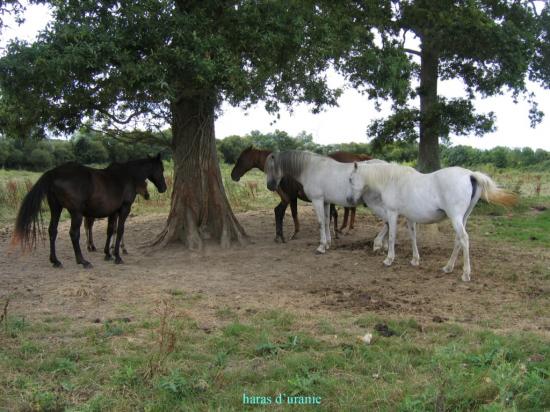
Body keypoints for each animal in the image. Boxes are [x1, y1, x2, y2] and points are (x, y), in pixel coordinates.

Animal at [12, 154, 167, 268]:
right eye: (161, 169)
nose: (164, 188)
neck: (127, 175)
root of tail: (54, 172)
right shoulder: (124, 209)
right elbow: (120, 230)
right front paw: (117, 256)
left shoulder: (113, 212)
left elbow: (110, 230)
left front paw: (108, 254)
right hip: (76, 213)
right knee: (74, 234)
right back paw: (83, 261)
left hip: (56, 208)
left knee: (52, 231)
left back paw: (55, 261)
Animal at [231, 146, 374, 241]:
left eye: (241, 159)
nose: (233, 175)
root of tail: (357, 157)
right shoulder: (287, 198)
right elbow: (281, 212)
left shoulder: (291, 197)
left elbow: (293, 214)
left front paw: (294, 234)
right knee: (346, 210)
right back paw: (342, 229)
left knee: (348, 209)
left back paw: (343, 230)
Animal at [348, 163, 520, 282]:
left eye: (350, 179)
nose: (349, 200)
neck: (393, 180)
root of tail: (470, 175)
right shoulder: (409, 217)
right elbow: (413, 237)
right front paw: (415, 260)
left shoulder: (392, 213)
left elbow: (391, 236)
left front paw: (389, 259)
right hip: (462, 218)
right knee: (458, 240)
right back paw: (448, 267)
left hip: (455, 218)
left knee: (464, 239)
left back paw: (465, 274)